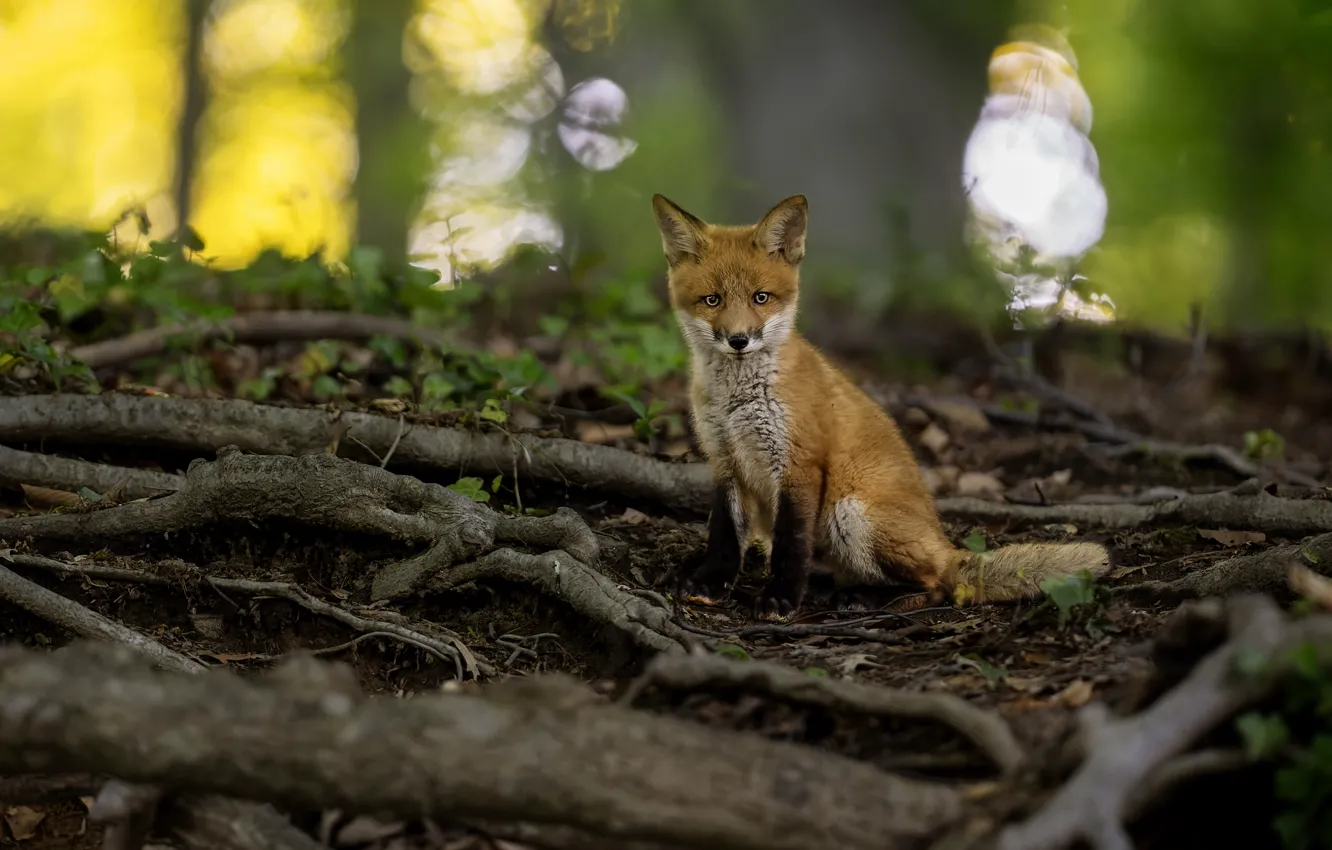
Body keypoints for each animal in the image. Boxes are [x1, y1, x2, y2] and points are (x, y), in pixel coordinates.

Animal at [652, 192, 1113, 621]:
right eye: (712, 300)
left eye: (760, 297)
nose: (739, 340)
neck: (738, 398)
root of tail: (946, 545)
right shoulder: (724, 459)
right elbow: (725, 535)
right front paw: (711, 582)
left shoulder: (799, 464)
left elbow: (789, 546)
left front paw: (779, 597)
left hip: (851, 514)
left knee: (936, 586)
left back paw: (867, 599)